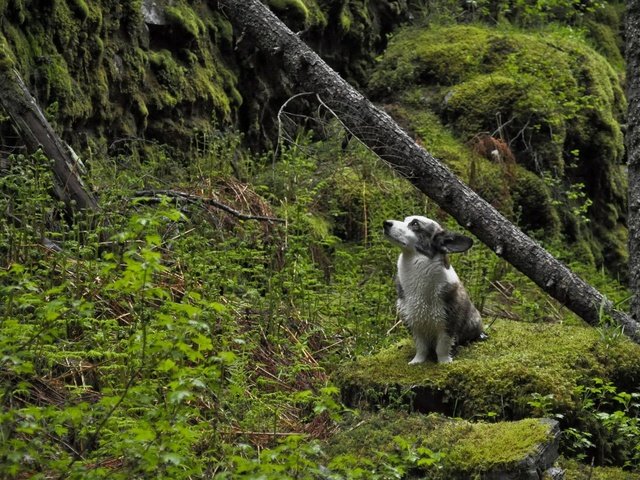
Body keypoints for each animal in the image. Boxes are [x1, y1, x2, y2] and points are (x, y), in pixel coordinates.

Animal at [384, 217, 484, 364]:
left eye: (415, 224)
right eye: (405, 220)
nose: (385, 223)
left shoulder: (448, 323)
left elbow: (442, 347)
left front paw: (444, 362)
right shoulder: (414, 324)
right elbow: (421, 347)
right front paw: (417, 361)